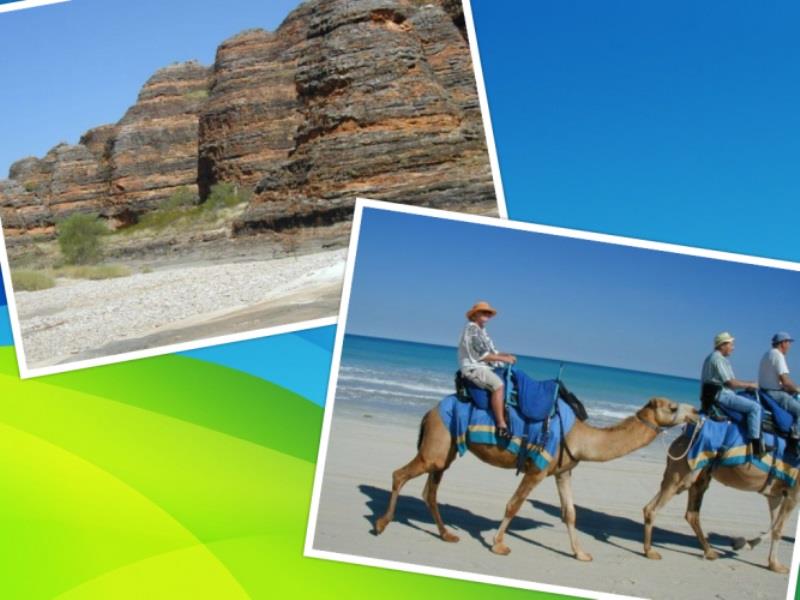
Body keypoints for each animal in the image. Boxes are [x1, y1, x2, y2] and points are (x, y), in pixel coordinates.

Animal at [374, 396, 692, 560]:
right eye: (673, 407)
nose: (696, 412)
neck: (579, 436)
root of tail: (429, 412)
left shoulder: (563, 472)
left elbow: (570, 513)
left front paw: (581, 554)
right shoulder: (537, 469)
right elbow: (513, 504)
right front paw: (498, 545)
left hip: (445, 450)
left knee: (430, 491)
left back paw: (446, 534)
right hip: (437, 445)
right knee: (399, 474)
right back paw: (381, 524)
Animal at [644, 432, 800, 572]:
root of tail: (681, 438)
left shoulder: (775, 494)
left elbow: (773, 526)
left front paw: (742, 544)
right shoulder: (793, 493)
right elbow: (779, 529)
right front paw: (776, 565)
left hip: (698, 477)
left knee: (690, 513)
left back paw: (710, 552)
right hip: (683, 474)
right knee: (652, 508)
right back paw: (649, 552)